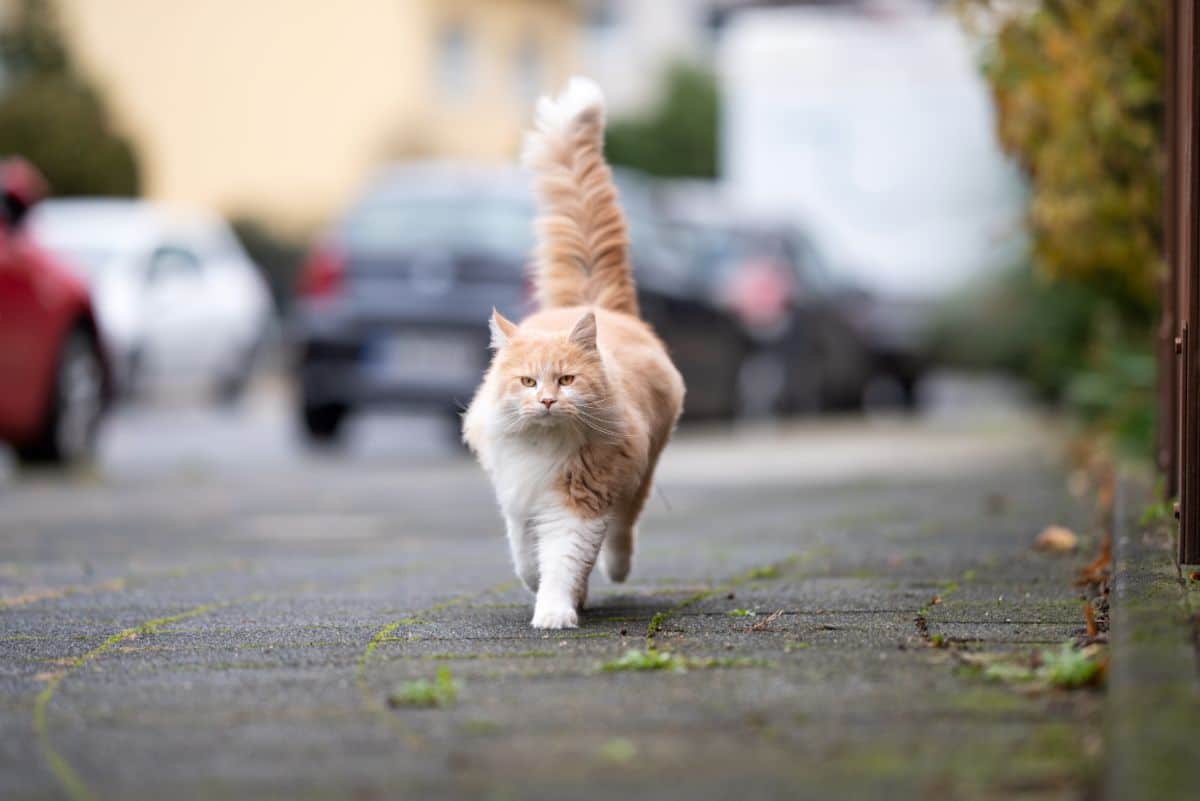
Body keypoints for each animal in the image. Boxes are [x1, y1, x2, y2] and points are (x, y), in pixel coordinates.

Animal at [460, 77, 686, 628]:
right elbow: (526, 553)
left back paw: (615, 573)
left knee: (623, 531)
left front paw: (554, 612)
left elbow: (564, 559)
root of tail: (592, 302)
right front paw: (538, 587)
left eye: (565, 380)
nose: (546, 402)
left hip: (638, 471)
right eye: (527, 381)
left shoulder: (581, 500)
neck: (544, 446)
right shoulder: (518, 495)